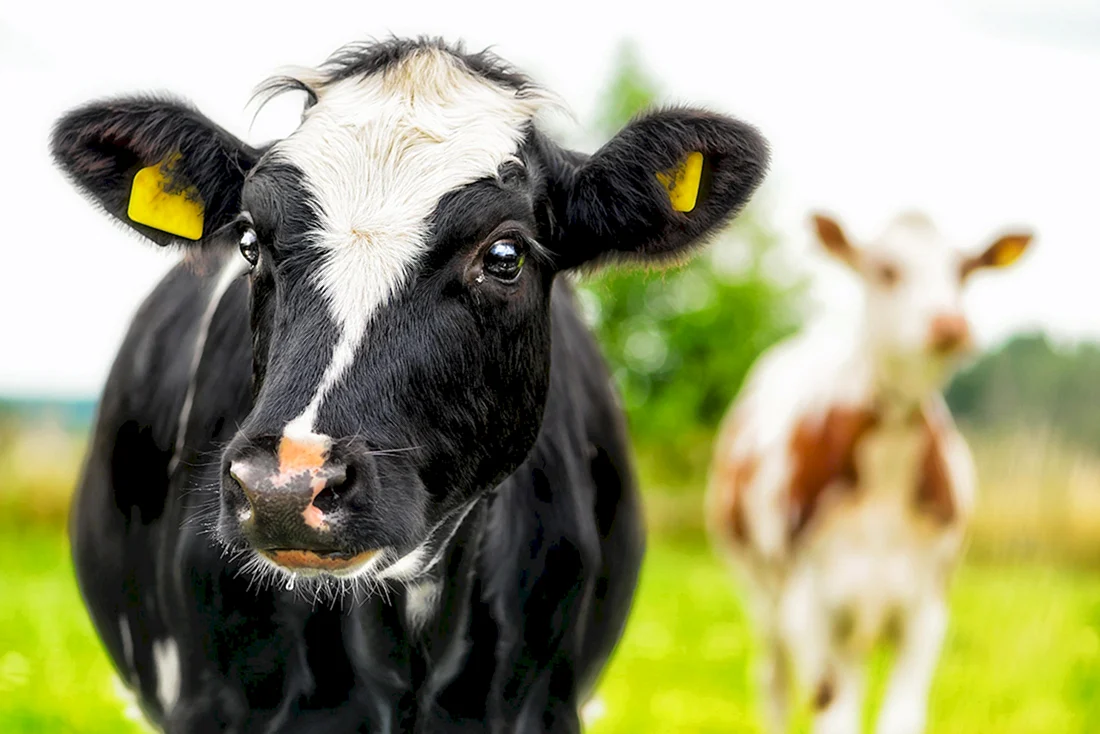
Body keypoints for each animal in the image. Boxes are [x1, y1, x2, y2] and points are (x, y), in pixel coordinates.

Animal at [707, 212, 1032, 734]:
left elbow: (899, 717)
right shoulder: (809, 607)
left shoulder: (927, 608)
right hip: (761, 594)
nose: (950, 324)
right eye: (886, 270)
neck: (887, 469)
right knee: (773, 682)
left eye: (964, 271)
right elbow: (830, 713)